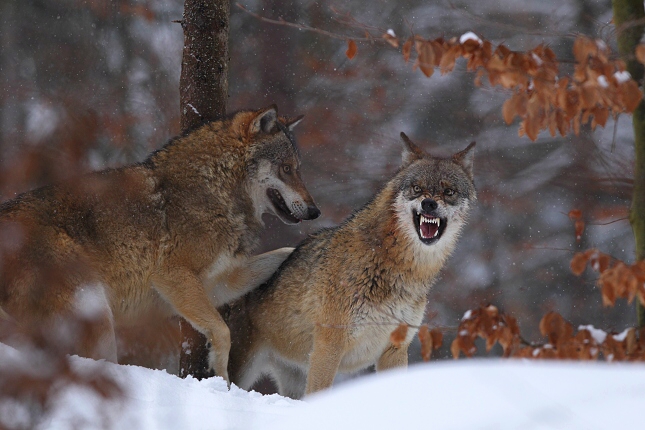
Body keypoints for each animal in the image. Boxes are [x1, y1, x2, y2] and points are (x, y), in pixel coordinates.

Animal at [0, 106, 320, 384]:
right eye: (287, 168)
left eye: (298, 169)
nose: (315, 211)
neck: (216, 187)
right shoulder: (173, 277)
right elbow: (222, 330)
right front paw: (221, 378)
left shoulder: (217, 284)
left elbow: (283, 253)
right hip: (95, 312)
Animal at [225, 133, 472, 398]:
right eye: (417, 188)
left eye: (449, 191)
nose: (429, 204)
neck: (397, 267)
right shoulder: (329, 344)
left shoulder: (395, 348)